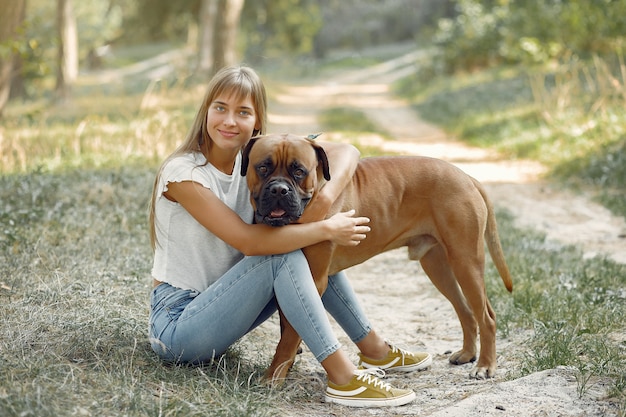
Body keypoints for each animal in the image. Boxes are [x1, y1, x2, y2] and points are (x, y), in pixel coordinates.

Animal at [240, 135, 512, 382]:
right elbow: (286, 327)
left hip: (465, 261)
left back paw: (485, 365)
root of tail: (467, 177)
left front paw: (274, 377)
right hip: (438, 266)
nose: (279, 189)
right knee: (466, 311)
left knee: (486, 317)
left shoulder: (312, 279)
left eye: (299, 171)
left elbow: (290, 334)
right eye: (262, 168)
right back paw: (467, 354)